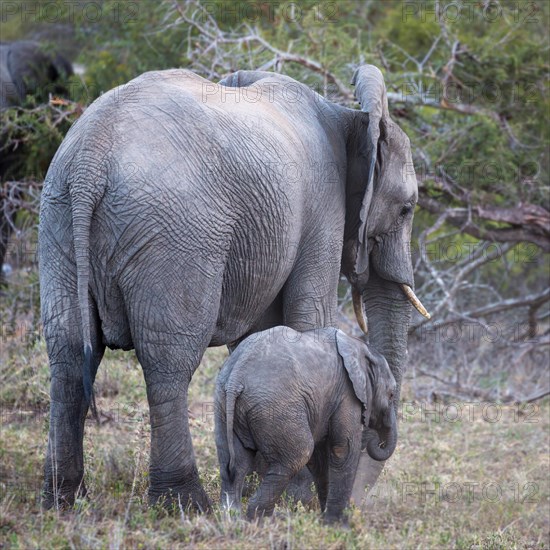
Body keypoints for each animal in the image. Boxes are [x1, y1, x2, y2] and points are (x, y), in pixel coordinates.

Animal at [213, 328, 398, 528]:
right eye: (391, 394)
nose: (376, 441)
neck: (359, 346)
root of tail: (236, 378)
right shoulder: (347, 394)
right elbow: (342, 449)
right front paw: (339, 526)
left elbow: (320, 458)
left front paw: (325, 518)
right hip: (276, 408)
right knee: (298, 454)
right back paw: (264, 521)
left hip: (223, 405)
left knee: (233, 464)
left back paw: (232, 521)